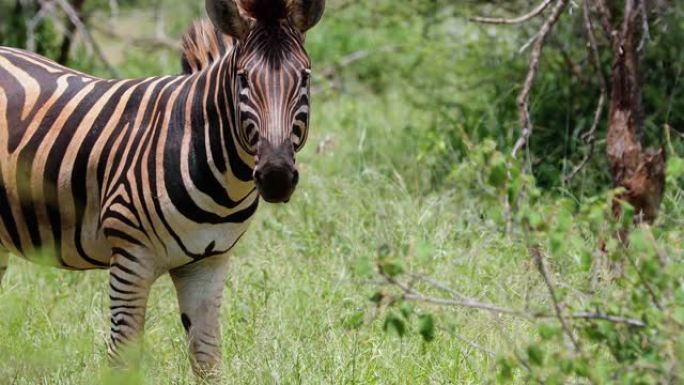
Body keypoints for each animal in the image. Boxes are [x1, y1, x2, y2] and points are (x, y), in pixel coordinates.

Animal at [0, 0, 326, 376]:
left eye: (305, 77)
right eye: (243, 79)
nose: (276, 176)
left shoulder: (209, 263)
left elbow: (207, 357)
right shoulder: (131, 258)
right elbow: (122, 358)